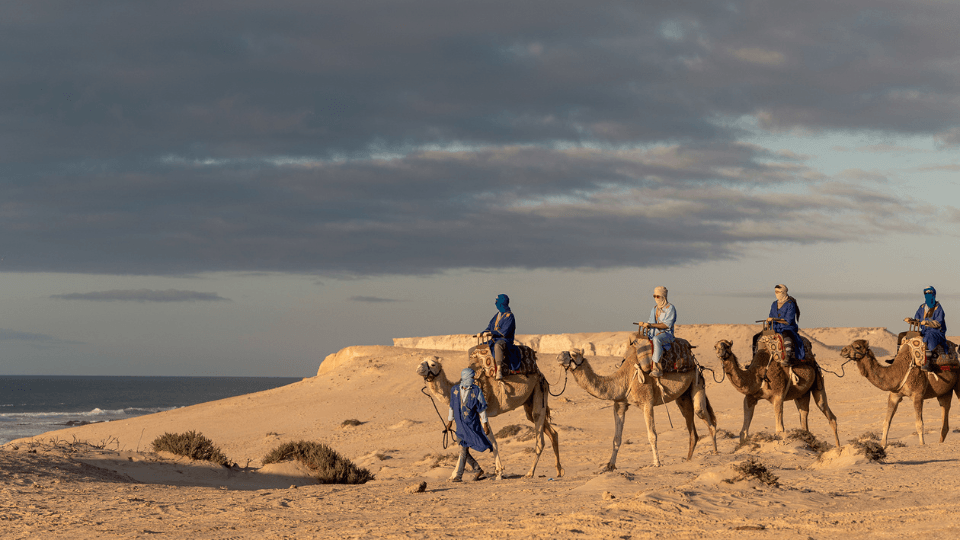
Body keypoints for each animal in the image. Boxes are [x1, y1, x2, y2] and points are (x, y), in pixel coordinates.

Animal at [416, 354, 562, 480]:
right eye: (422, 361)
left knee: (540, 434)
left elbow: (490, 441)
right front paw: (455, 475)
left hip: (539, 390)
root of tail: (542, 375)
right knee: (552, 432)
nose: (418, 368)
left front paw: (499, 472)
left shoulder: (480, 412)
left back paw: (530, 473)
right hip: (529, 401)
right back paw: (559, 471)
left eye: (433, 364)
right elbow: (464, 442)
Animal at [556, 346, 717, 469]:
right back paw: (688, 459)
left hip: (697, 380)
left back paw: (715, 453)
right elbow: (616, 438)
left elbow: (652, 435)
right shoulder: (620, 404)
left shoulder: (647, 402)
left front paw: (656, 463)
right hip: (683, 395)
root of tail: (695, 363)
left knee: (704, 415)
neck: (623, 380)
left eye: (574, 354)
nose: (558, 356)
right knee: (690, 420)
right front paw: (610, 466)